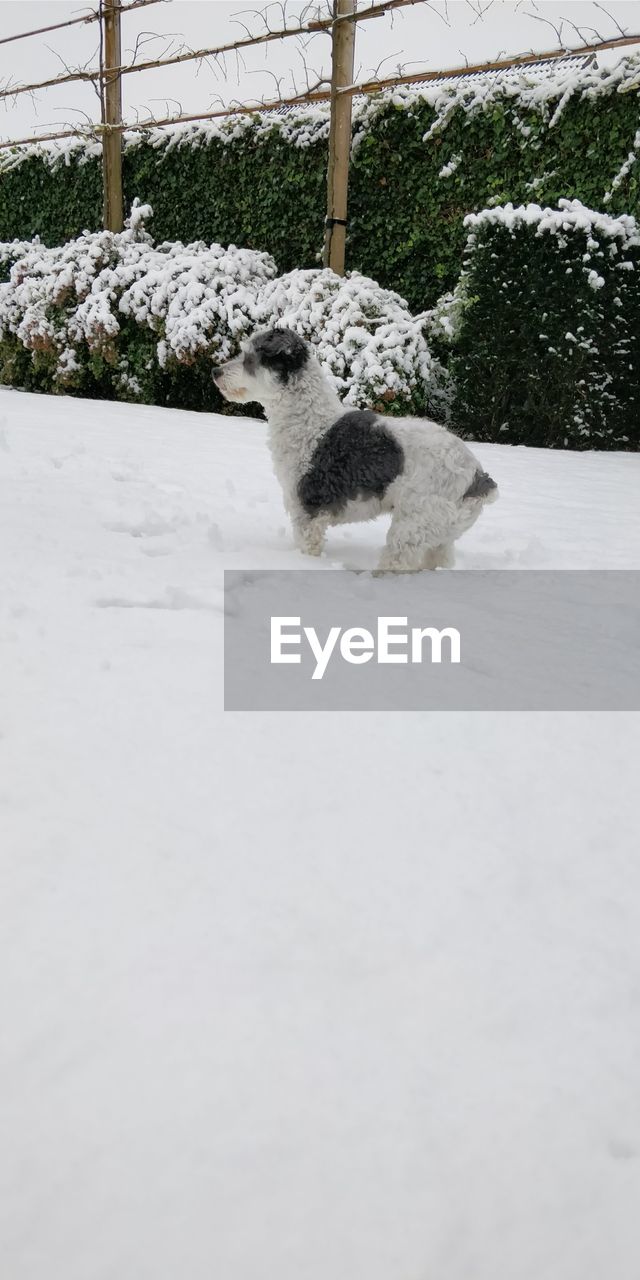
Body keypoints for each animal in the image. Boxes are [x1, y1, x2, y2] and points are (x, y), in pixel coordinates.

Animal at [212, 327, 496, 573]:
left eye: (251, 358)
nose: (215, 371)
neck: (310, 421)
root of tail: (476, 475)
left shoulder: (307, 510)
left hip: (411, 528)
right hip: (440, 536)